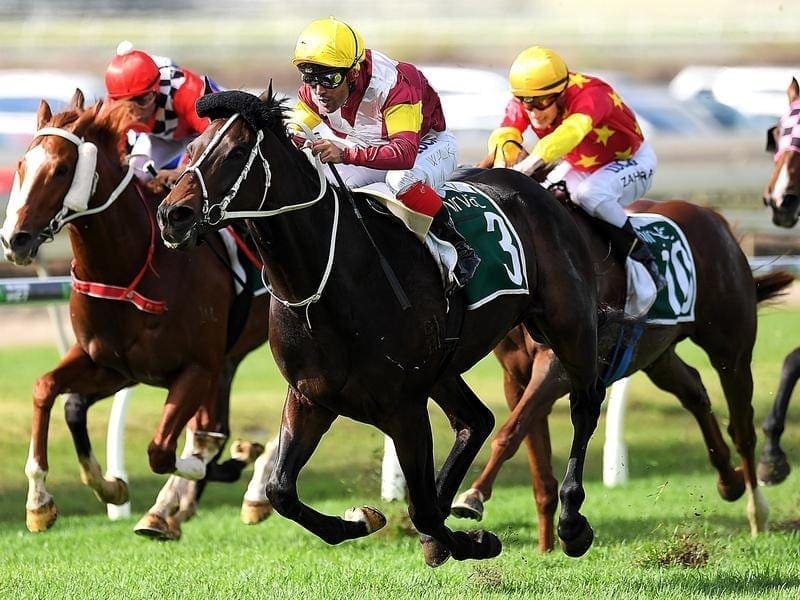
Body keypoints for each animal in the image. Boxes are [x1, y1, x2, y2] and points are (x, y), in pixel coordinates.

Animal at [0, 92, 272, 540]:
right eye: (22, 165)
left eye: (61, 169)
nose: (14, 240)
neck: (127, 269)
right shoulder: (113, 365)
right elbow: (52, 393)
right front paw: (50, 500)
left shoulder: (196, 368)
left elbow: (165, 449)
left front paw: (235, 461)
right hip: (227, 360)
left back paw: (247, 490)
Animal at [158, 89, 620, 568]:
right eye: (192, 148)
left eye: (234, 153)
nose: (173, 214)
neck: (328, 280)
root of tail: (535, 189)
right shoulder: (310, 396)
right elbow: (281, 491)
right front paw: (362, 519)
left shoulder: (403, 407)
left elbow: (422, 509)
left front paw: (476, 541)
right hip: (443, 367)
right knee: (476, 419)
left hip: (568, 324)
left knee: (584, 404)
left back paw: (571, 524)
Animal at [450, 186, 792, 548]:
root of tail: (715, 219)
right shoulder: (515, 378)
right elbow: (534, 454)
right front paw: (546, 548)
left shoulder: (558, 366)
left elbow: (510, 431)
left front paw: (473, 495)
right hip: (657, 354)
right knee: (695, 391)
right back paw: (729, 480)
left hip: (730, 350)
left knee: (742, 428)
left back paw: (758, 510)